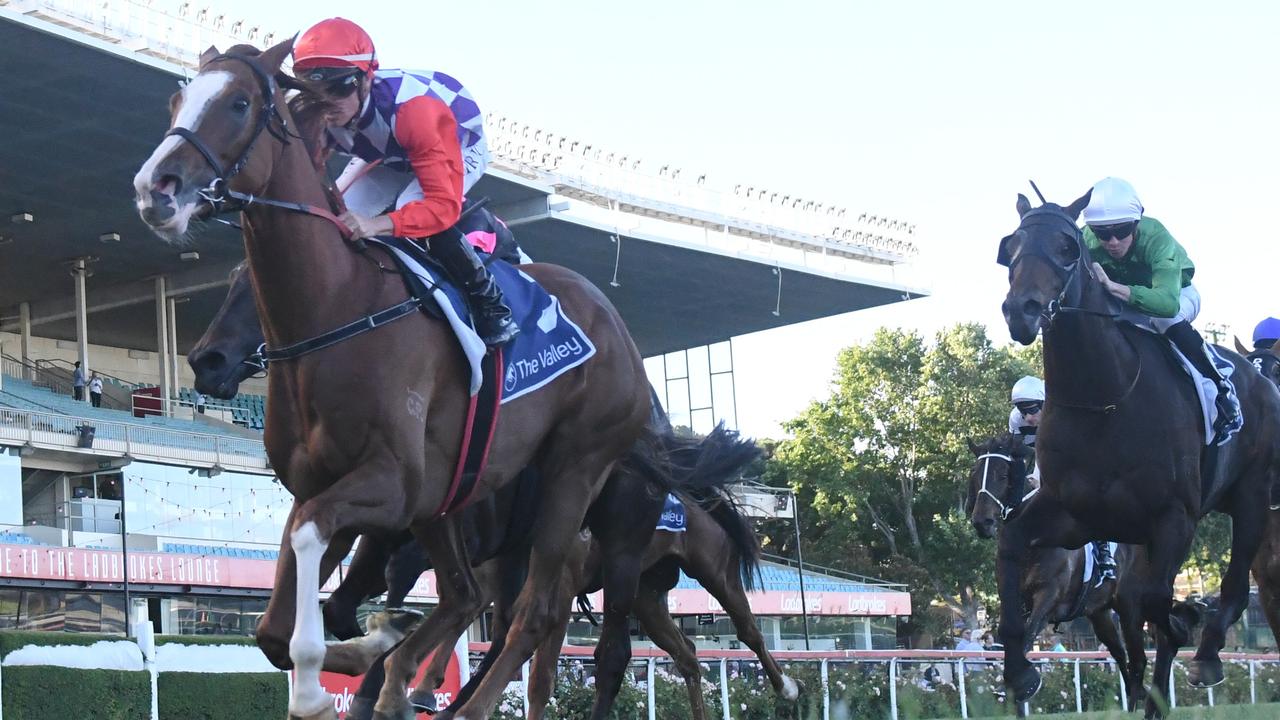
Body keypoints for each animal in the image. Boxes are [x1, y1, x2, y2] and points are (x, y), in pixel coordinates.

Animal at [136, 40, 655, 717]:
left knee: (533, 614)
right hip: (449, 499)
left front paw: (321, 681)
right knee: (464, 595)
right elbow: (274, 626)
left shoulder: (392, 483)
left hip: (573, 474)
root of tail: (617, 327)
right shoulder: (323, 485)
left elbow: (310, 548)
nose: (155, 189)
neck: (338, 307)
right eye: (176, 102)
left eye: (240, 102)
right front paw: (366, 651)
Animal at [967, 435, 1152, 707]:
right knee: (1118, 652)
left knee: (1134, 652)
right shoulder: (1011, 595)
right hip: (1099, 613)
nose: (982, 522)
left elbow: (1027, 632)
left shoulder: (1049, 594)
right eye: (975, 475)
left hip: (1128, 603)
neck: (1029, 540)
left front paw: (1024, 682)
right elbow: (1008, 632)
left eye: (1002, 475)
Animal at [993, 188, 1280, 712]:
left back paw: (1206, 654)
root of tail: (1260, 379)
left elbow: (1156, 606)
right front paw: (1020, 671)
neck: (1105, 401)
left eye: (1067, 247)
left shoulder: (1174, 518)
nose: (1021, 309)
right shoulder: (1075, 515)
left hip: (1250, 492)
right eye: (1010, 247)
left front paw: (1189, 623)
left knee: (1231, 583)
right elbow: (1011, 545)